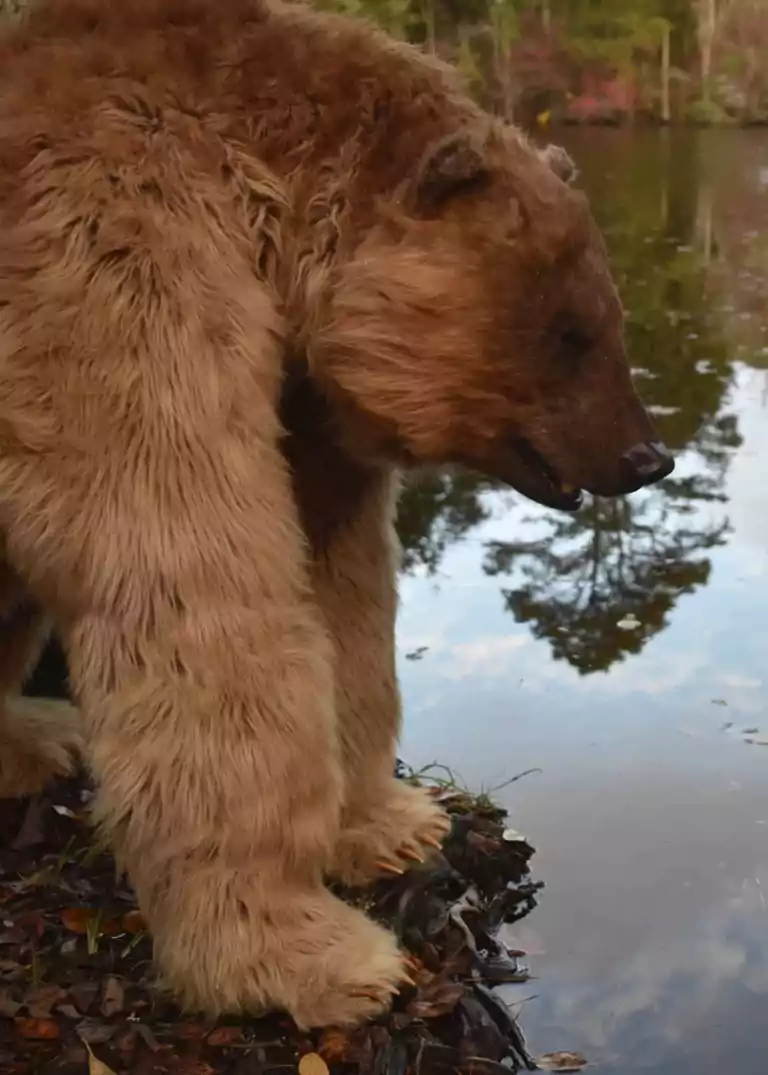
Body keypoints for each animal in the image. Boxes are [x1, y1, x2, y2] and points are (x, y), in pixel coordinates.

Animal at [0, 0, 671, 1027]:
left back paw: (38, 734)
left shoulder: (312, 403)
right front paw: (319, 954)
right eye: (569, 332)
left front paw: (393, 822)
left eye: (609, 318)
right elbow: (193, 576)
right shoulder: (112, 257)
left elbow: (341, 588)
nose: (645, 454)